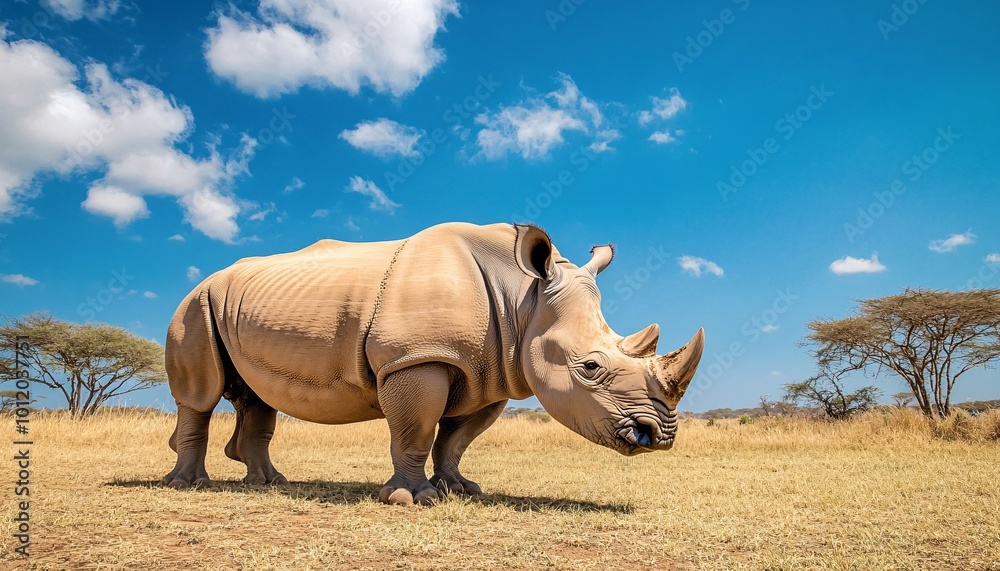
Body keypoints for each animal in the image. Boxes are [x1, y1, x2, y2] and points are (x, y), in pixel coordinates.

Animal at [162, 222, 704, 505]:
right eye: (591, 367)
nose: (659, 437)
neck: (523, 298)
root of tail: (209, 277)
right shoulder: (416, 359)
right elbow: (416, 429)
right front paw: (413, 500)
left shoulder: (489, 371)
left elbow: (457, 438)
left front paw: (461, 489)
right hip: (195, 304)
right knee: (200, 396)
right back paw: (189, 486)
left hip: (231, 303)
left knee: (258, 397)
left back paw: (269, 483)